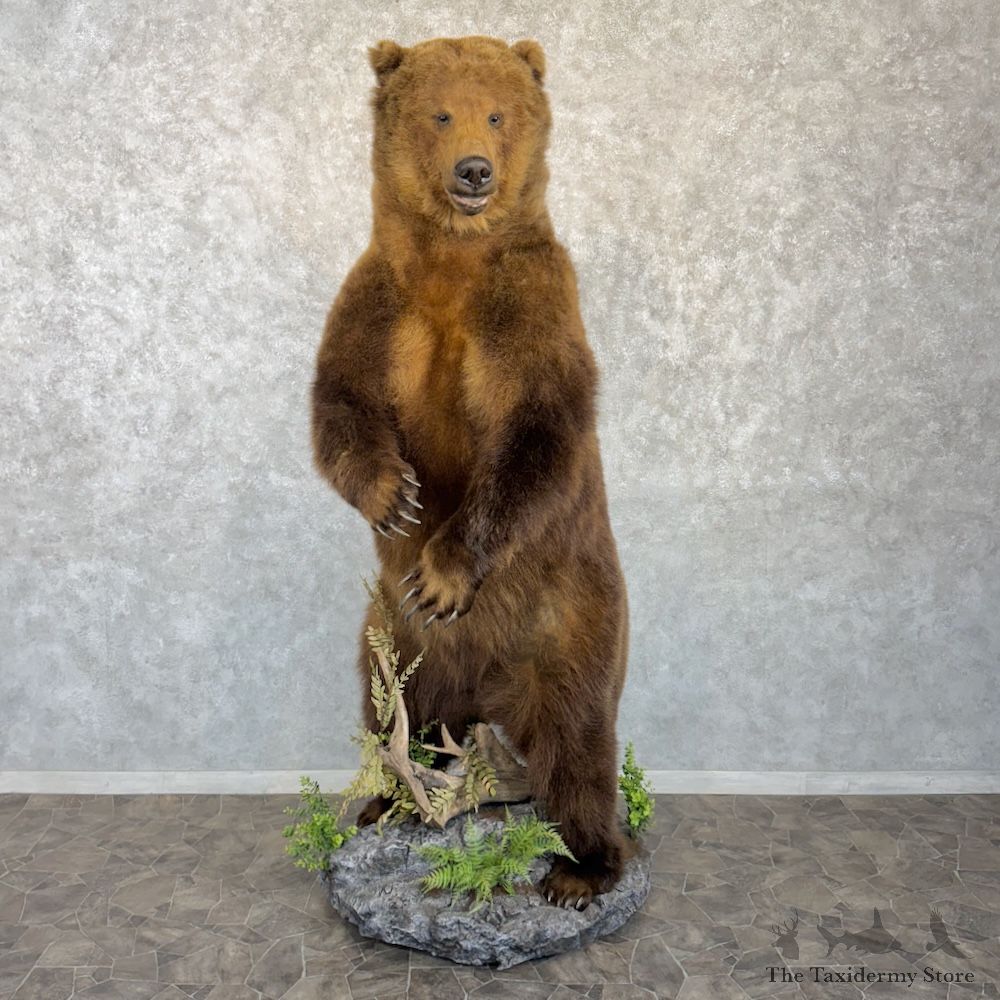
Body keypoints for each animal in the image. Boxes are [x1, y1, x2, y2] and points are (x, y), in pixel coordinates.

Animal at [310, 35, 630, 908]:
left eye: (497, 112)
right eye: (440, 113)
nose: (476, 171)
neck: (455, 258)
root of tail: (487, 689)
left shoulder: (532, 307)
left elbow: (535, 437)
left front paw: (445, 572)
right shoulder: (379, 301)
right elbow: (340, 400)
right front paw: (393, 496)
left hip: (571, 625)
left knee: (577, 740)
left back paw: (582, 866)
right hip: (391, 636)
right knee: (395, 712)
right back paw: (382, 803)